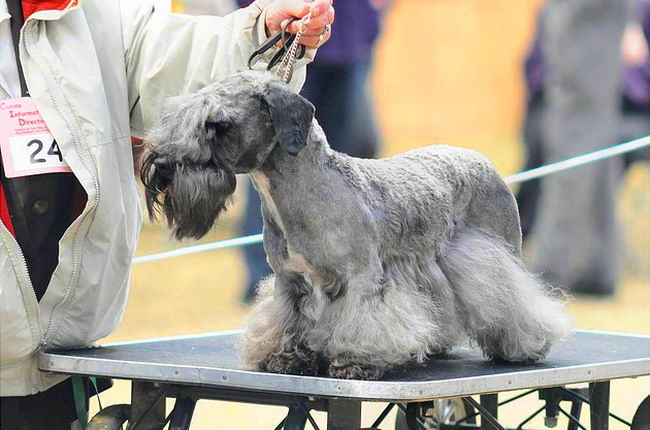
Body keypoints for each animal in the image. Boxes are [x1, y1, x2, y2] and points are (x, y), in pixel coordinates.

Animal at [140, 70, 572, 380]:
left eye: (218, 124)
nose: (161, 166)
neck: (302, 189)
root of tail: (478, 159)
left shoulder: (362, 279)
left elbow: (365, 323)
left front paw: (355, 363)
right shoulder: (289, 282)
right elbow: (285, 321)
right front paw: (284, 358)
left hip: (497, 255)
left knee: (518, 302)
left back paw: (523, 348)